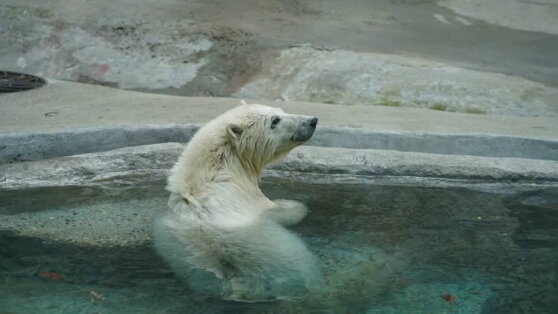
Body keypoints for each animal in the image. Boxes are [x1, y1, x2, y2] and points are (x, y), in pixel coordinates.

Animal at [154, 100, 320, 302]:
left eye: (281, 111)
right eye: (275, 120)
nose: (312, 121)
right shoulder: (246, 197)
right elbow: (279, 211)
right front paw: (295, 205)